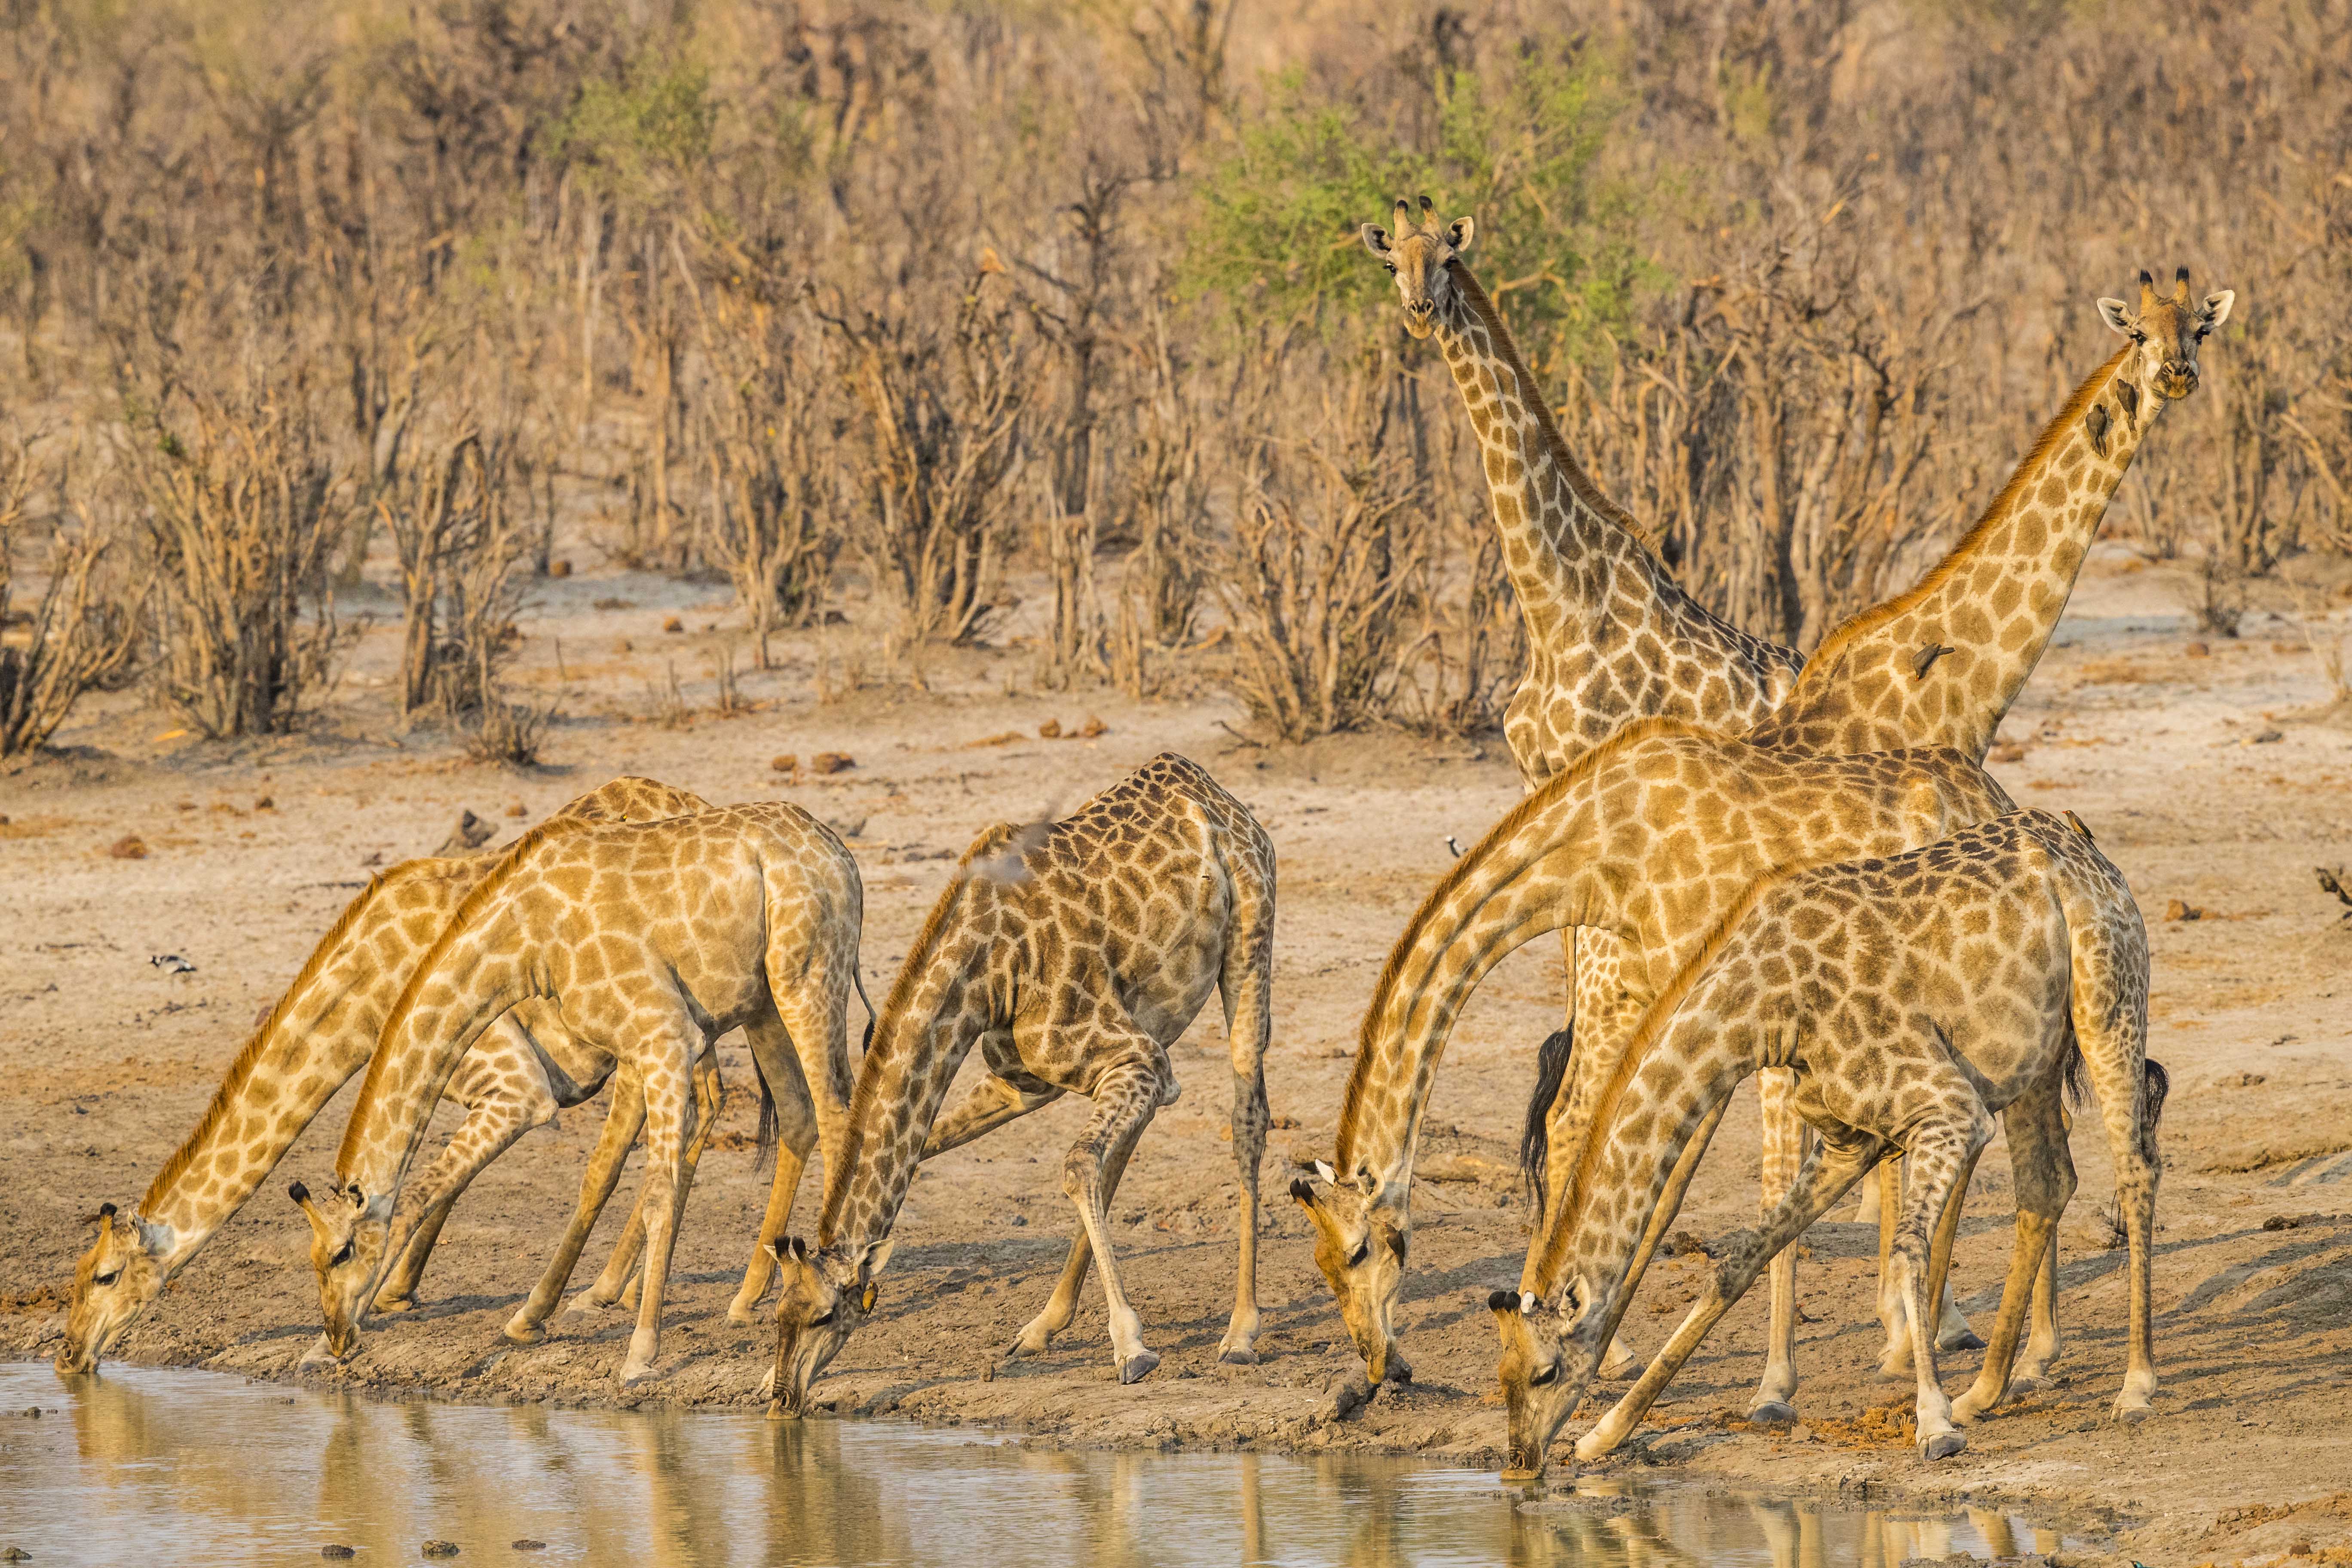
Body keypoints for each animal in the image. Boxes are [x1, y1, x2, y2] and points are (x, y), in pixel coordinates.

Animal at [55, 776, 716, 1374]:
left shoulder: (511, 1083)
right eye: (75, 1276)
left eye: (104, 1276)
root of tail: (691, 798)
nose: (68, 1355)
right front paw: (396, 1294)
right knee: (700, 1111)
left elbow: (421, 1189)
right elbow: (433, 1183)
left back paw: (588, 1302)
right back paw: (626, 1293)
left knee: (636, 1141)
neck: (364, 992)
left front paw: (345, 1328)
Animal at [296, 800, 863, 1384]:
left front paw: (640, 1352)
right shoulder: (642, 1047)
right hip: (767, 1001)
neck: (524, 942)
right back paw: (753, 1297)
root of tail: (840, 854)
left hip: (808, 981)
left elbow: (658, 1192)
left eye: (340, 1253)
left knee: (835, 1113)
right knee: (800, 1112)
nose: (338, 1336)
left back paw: (833, 1286)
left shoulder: (664, 1037)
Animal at [763, 754, 1276, 1411]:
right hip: (1155, 1020)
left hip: (1249, 942)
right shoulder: (1030, 1081)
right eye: (781, 1314)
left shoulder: (1132, 1056)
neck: (986, 973)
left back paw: (1240, 1332)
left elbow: (1076, 1165)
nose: (784, 1397)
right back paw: (1040, 1327)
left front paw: (1132, 1348)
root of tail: (1209, 789)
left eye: (825, 1316)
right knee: (1126, 1145)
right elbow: (930, 1147)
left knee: (1246, 1118)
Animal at [1489, 811, 2158, 1478]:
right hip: (2037, 1054)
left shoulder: (1951, 1109)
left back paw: (2134, 1389)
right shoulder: (1849, 1141)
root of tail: (2078, 845)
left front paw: (1934, 1425)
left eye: (1545, 1373)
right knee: (2048, 1182)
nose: (1520, 1460)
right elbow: (1740, 1260)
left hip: (2109, 1006)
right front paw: (1606, 1434)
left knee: (2136, 1169)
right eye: (1503, 1375)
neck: (1760, 1007)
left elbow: (1907, 1248)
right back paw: (1986, 1391)